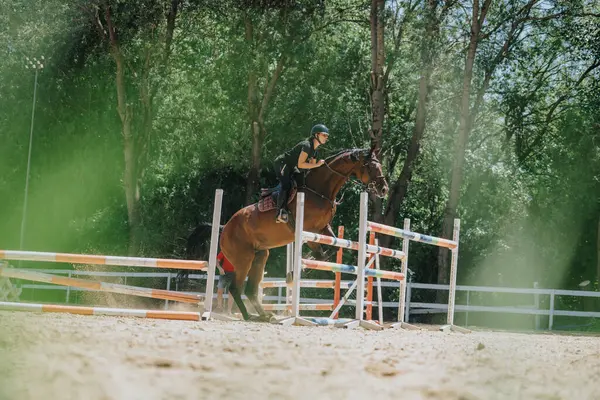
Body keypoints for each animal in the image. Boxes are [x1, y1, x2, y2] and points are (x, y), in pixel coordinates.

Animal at [220, 148, 390, 320]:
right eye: (371, 167)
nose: (384, 189)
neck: (320, 190)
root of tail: (225, 230)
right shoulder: (309, 230)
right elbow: (320, 254)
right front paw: (296, 272)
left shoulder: (323, 228)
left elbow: (332, 248)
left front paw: (300, 269)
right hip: (244, 259)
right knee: (235, 288)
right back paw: (248, 316)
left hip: (260, 255)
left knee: (250, 289)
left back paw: (264, 315)